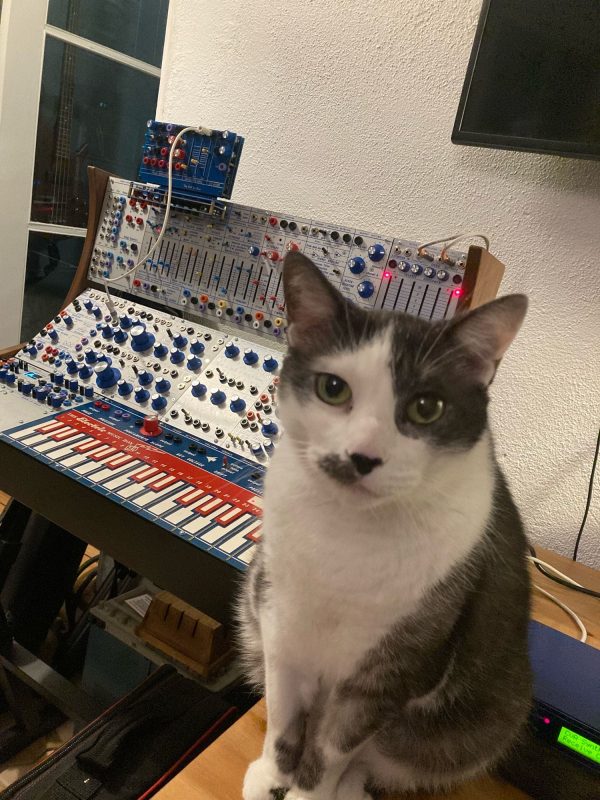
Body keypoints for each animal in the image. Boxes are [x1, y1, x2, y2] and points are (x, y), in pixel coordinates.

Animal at [237, 252, 532, 800]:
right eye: (333, 389)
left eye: (426, 407)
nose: (363, 456)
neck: (345, 531)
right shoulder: (277, 617)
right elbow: (283, 716)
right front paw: (272, 775)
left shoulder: (391, 671)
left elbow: (332, 750)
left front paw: (307, 792)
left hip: (475, 723)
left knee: (378, 757)